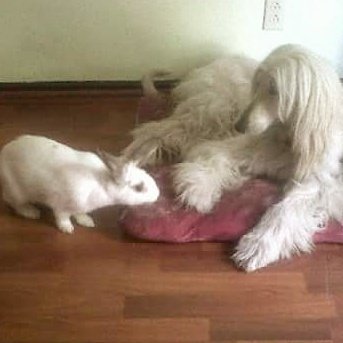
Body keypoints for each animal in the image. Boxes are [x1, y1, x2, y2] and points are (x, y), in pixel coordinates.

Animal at [0, 136, 161, 235]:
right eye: (138, 188)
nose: (157, 195)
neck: (101, 182)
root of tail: (4, 152)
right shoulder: (60, 205)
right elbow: (62, 217)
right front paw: (67, 229)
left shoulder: (80, 206)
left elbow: (79, 213)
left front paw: (87, 221)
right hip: (16, 192)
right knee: (14, 203)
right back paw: (31, 212)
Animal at [125, 44, 343, 272]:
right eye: (257, 84)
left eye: (274, 90)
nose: (240, 126)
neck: (290, 138)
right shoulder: (252, 144)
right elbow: (213, 153)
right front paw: (199, 188)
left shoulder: (317, 180)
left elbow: (288, 207)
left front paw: (258, 246)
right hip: (216, 109)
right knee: (156, 130)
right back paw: (132, 160)